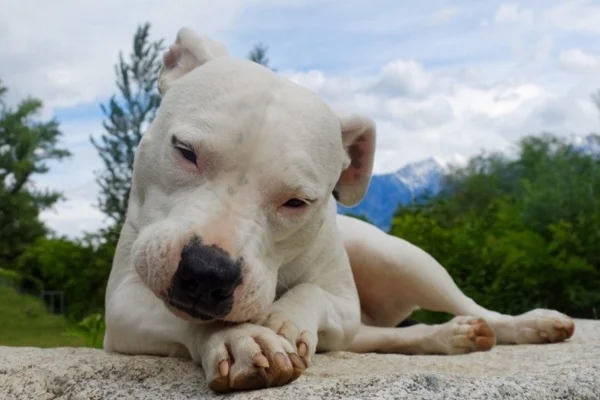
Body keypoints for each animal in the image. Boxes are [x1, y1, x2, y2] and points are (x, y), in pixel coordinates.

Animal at [104, 27, 576, 390]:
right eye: (185, 151)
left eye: (297, 202)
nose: (206, 272)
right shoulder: (123, 306)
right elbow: (193, 319)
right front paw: (243, 339)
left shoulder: (344, 303)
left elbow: (312, 293)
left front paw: (282, 320)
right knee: (380, 337)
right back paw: (449, 336)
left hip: (400, 258)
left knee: (470, 305)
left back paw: (528, 325)